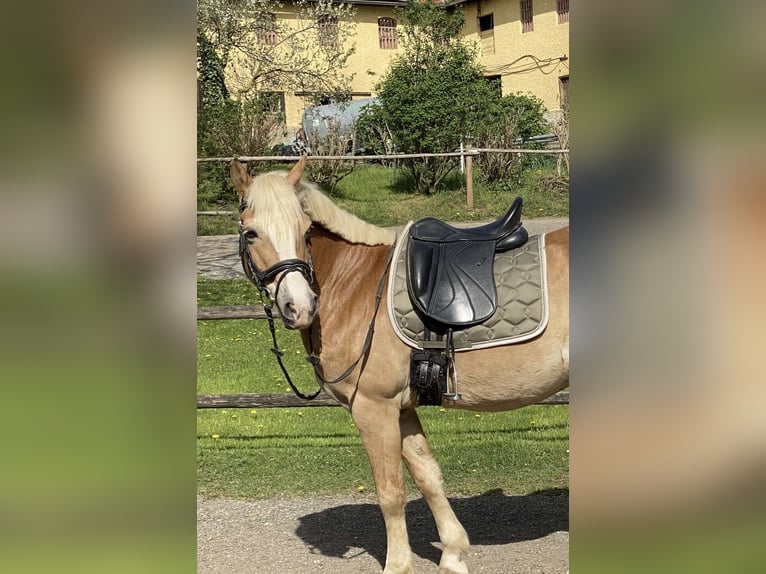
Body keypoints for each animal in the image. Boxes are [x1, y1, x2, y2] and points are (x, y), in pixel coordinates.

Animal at [230, 158, 568, 574]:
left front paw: (398, 564)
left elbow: (390, 492)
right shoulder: (402, 408)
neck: (354, 284)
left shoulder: (373, 408)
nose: (301, 306)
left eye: (305, 230)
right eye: (251, 233)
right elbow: (428, 476)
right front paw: (453, 554)